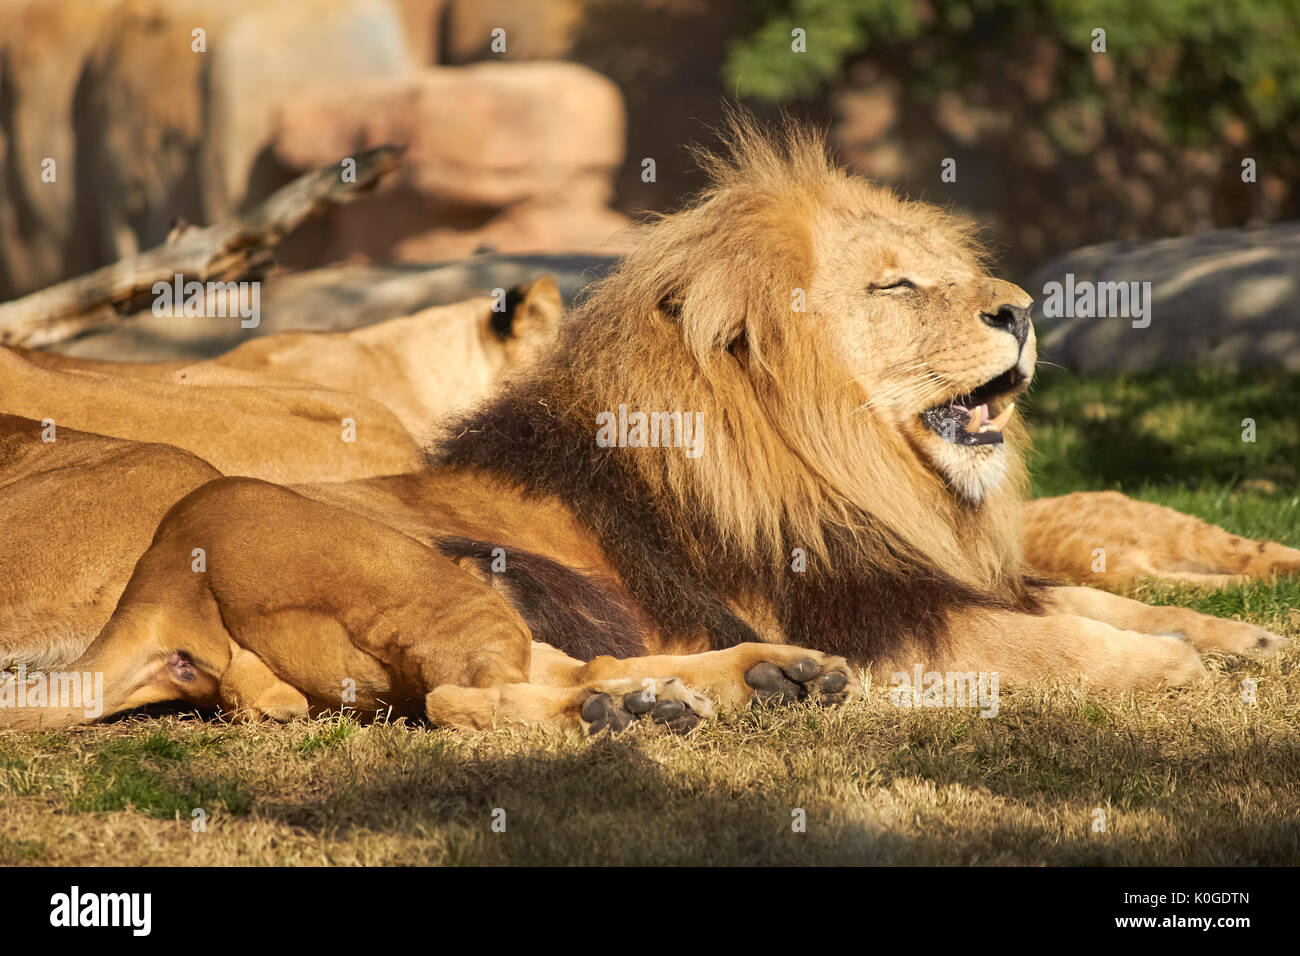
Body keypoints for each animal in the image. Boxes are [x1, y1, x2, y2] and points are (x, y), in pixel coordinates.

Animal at [0, 119, 1289, 733]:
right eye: (893, 285)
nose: (1021, 308)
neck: (861, 470)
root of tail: (154, 599)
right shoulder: (882, 618)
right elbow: (1057, 640)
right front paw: (1166, 665)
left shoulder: (922, 577)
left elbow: (1090, 597)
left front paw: (1239, 636)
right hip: (341, 540)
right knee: (465, 696)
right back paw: (662, 702)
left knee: (555, 666)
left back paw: (721, 688)